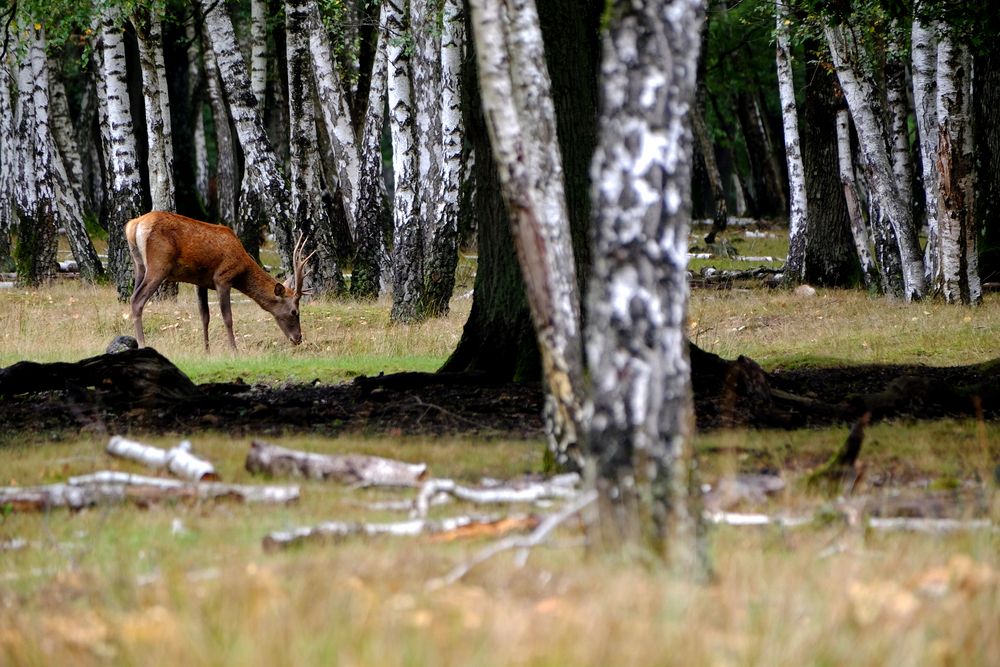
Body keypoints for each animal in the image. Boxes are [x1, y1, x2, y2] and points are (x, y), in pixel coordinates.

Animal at [125, 213, 314, 350]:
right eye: (294, 312)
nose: (298, 338)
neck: (242, 269)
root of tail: (133, 226)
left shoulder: (200, 282)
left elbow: (205, 316)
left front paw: (206, 350)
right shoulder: (223, 278)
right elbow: (227, 317)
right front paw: (234, 350)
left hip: (139, 265)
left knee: (133, 296)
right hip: (158, 265)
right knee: (137, 300)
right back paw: (142, 344)